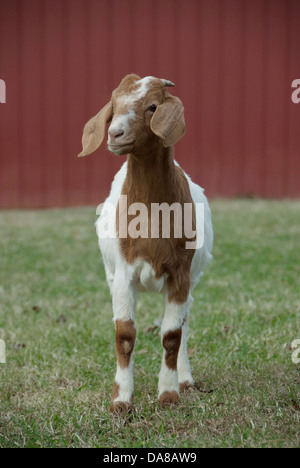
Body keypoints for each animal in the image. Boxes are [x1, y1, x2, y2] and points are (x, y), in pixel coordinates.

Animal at [78, 74, 213, 414]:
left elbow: (172, 335)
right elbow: (125, 335)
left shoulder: (180, 274)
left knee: (185, 324)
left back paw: (185, 379)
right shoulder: (124, 273)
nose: (115, 133)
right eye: (114, 104)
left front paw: (169, 394)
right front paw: (121, 400)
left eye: (152, 106)